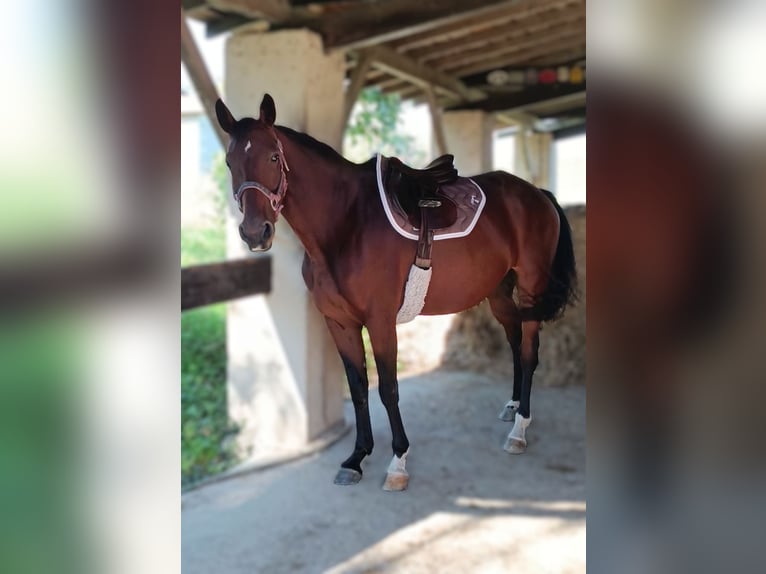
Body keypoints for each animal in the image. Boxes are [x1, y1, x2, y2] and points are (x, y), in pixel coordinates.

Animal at [214, 93, 576, 490]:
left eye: (274, 158)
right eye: (230, 161)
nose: (254, 233)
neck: (346, 223)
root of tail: (537, 194)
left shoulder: (381, 321)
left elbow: (387, 388)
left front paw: (398, 461)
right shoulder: (339, 322)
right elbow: (358, 387)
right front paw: (357, 457)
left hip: (531, 287)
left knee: (528, 353)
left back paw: (519, 429)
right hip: (499, 291)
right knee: (514, 342)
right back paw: (511, 409)